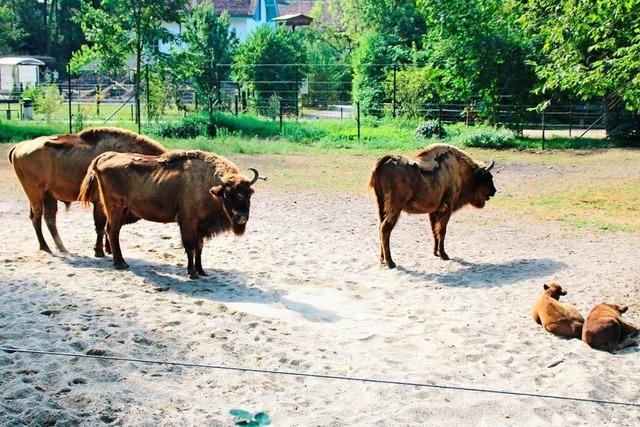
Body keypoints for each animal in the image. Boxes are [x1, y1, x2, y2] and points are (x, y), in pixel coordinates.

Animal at [7, 128, 166, 258]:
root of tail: (19, 146)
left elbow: (108, 225)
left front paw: (108, 249)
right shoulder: (101, 203)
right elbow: (101, 226)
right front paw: (99, 251)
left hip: (49, 196)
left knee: (49, 218)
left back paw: (62, 248)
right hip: (35, 194)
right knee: (37, 218)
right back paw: (46, 248)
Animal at [78, 150, 262, 280]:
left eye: (249, 193)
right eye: (228, 194)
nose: (241, 217)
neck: (209, 186)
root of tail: (105, 156)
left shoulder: (200, 228)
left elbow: (199, 248)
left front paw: (202, 271)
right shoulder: (188, 224)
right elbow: (190, 248)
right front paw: (192, 273)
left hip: (121, 209)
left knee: (110, 230)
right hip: (115, 207)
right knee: (112, 230)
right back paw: (120, 263)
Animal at [368, 145, 498, 270]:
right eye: (487, 178)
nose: (494, 191)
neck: (459, 170)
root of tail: (385, 160)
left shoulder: (434, 211)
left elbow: (434, 230)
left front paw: (436, 252)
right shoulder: (447, 208)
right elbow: (442, 230)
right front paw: (444, 255)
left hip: (381, 206)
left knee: (380, 228)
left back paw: (382, 260)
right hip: (395, 208)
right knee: (385, 229)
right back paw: (390, 262)